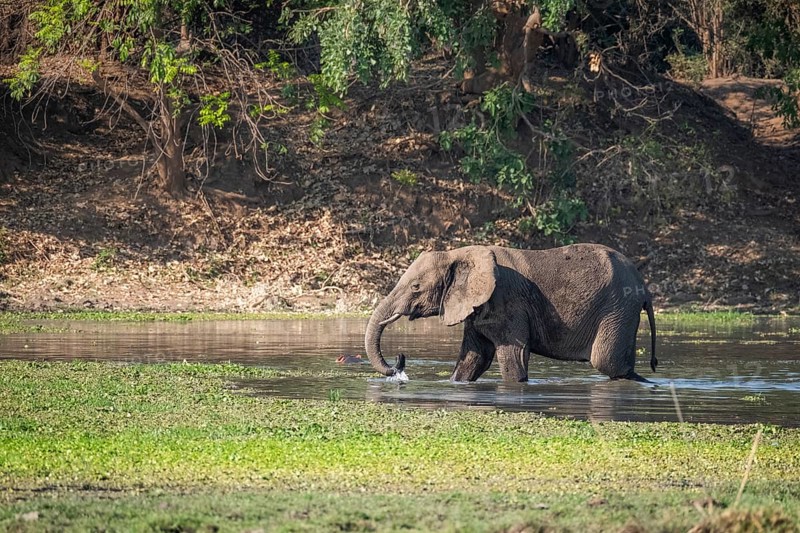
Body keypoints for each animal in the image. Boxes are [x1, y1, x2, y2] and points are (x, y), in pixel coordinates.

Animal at [364, 244, 657, 383]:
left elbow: (512, 355)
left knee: (607, 362)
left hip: (617, 309)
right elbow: (474, 358)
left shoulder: (506, 300)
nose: (399, 360)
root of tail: (644, 286)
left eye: (415, 287)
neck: (457, 253)